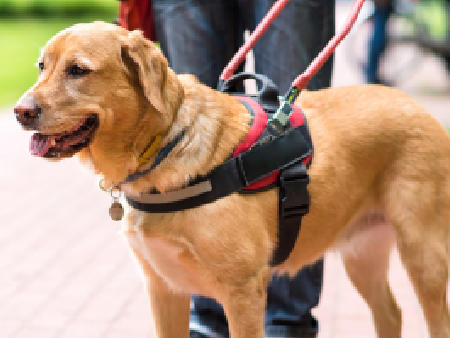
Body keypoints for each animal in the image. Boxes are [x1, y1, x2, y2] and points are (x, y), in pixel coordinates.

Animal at [14, 21, 450, 338]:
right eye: (41, 67)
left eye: (78, 70)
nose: (20, 111)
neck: (164, 147)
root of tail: (413, 104)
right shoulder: (164, 290)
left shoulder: (244, 294)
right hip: (363, 253)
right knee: (391, 314)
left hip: (423, 253)